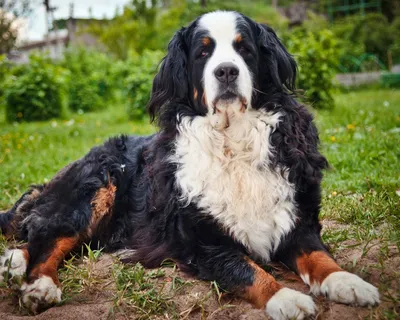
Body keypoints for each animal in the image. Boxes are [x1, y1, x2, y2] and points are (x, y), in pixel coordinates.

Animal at [1, 10, 380, 320]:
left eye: (244, 49)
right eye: (203, 52)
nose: (226, 71)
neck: (232, 142)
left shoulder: (296, 218)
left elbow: (318, 256)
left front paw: (348, 281)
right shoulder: (202, 243)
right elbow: (248, 270)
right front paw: (285, 298)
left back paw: (13, 263)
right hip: (96, 188)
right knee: (47, 238)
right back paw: (39, 285)